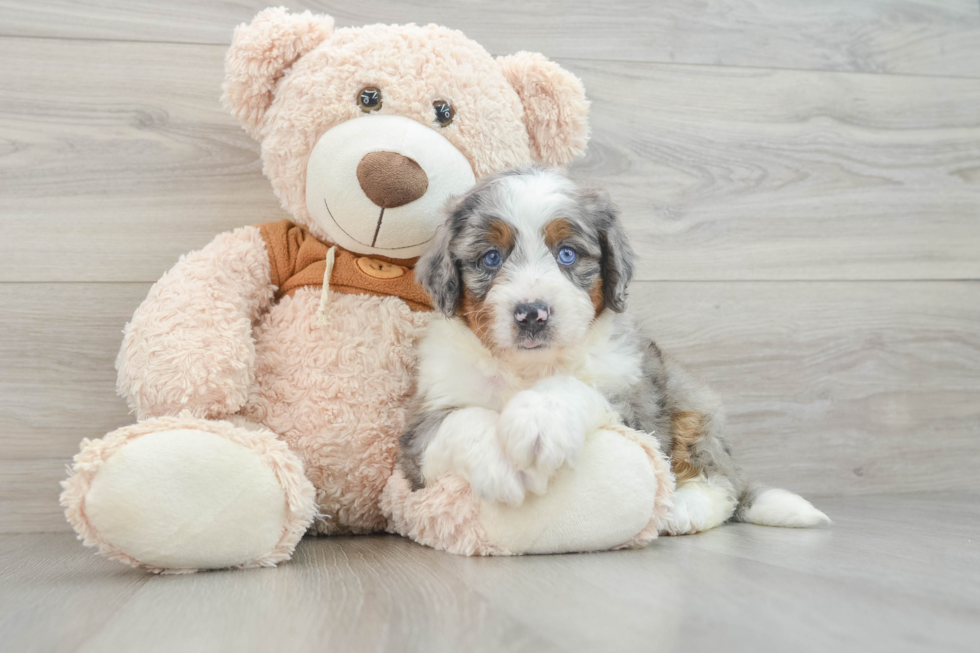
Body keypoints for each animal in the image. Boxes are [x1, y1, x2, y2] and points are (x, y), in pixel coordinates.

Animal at [398, 166, 828, 532]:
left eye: (567, 253)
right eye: (491, 257)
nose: (532, 314)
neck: (528, 369)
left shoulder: (631, 402)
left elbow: (572, 387)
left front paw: (539, 421)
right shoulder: (423, 424)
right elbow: (460, 421)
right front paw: (500, 461)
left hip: (689, 400)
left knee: (720, 479)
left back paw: (683, 508)